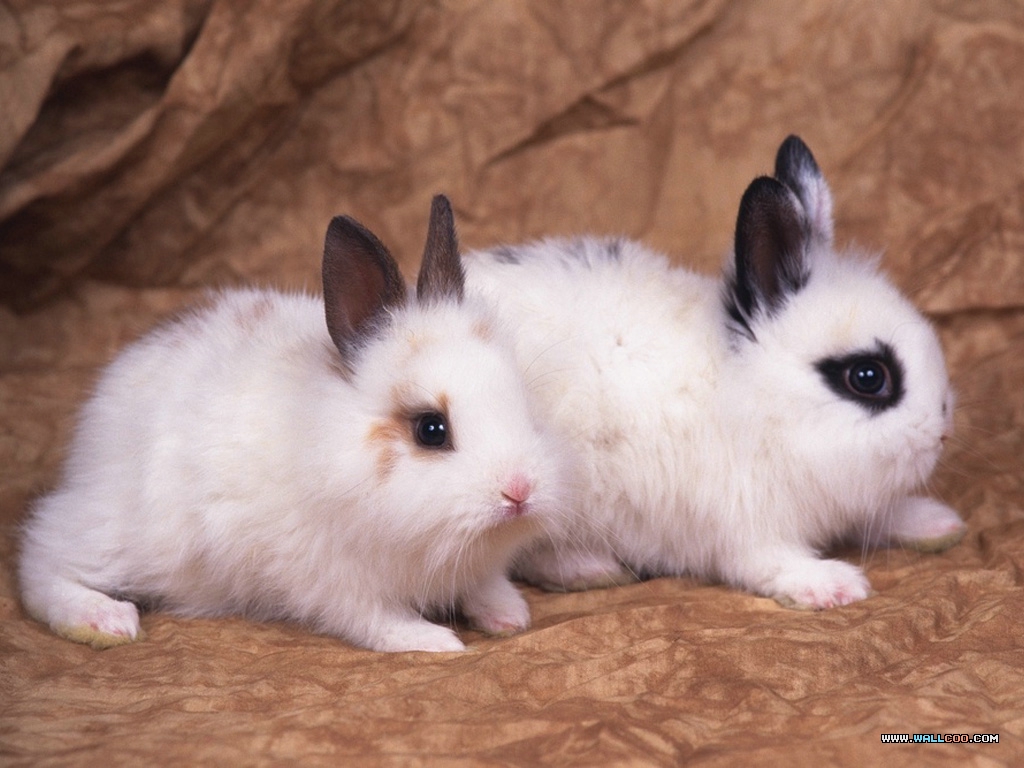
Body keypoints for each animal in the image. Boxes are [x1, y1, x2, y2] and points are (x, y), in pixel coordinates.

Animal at [18, 195, 570, 652]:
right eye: (430, 430)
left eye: (522, 403)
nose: (519, 492)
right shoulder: (332, 578)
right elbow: (375, 620)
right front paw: (433, 642)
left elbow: (484, 584)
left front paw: (509, 615)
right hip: (120, 534)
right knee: (40, 557)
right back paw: (104, 620)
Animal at [463, 136, 965, 609]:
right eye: (867, 377)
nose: (941, 432)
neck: (761, 401)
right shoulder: (747, 524)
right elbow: (769, 563)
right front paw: (832, 585)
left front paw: (938, 523)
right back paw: (588, 568)